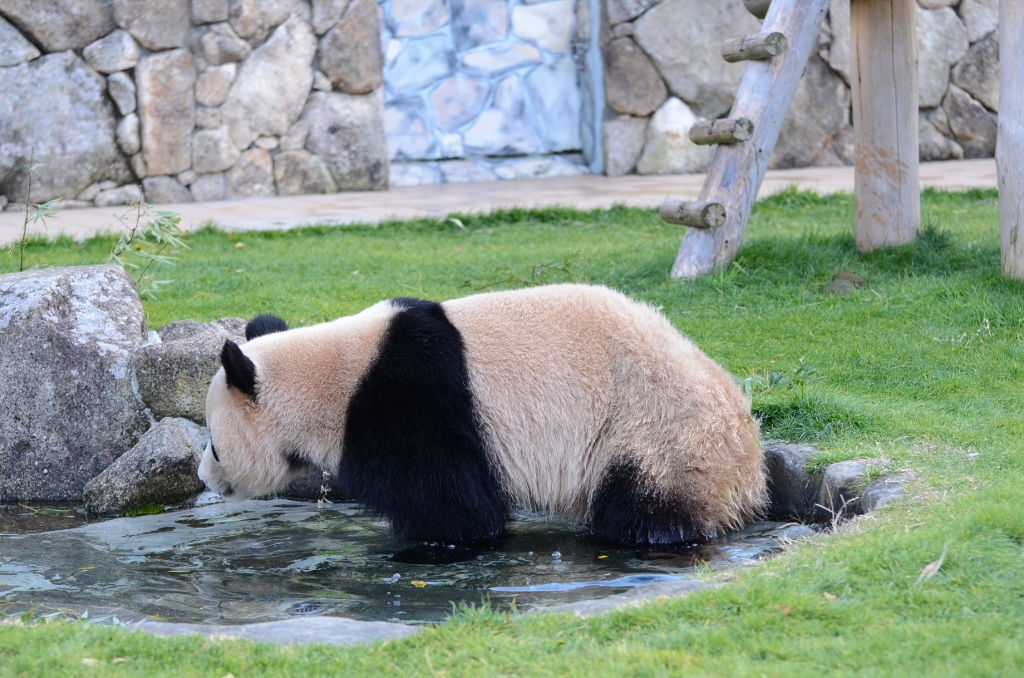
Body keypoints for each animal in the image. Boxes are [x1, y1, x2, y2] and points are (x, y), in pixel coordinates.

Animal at [199, 284, 765, 544]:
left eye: (213, 442)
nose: (204, 476)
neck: (332, 377)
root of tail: (750, 466)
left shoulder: (406, 400)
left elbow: (452, 504)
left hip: (656, 432)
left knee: (642, 505)